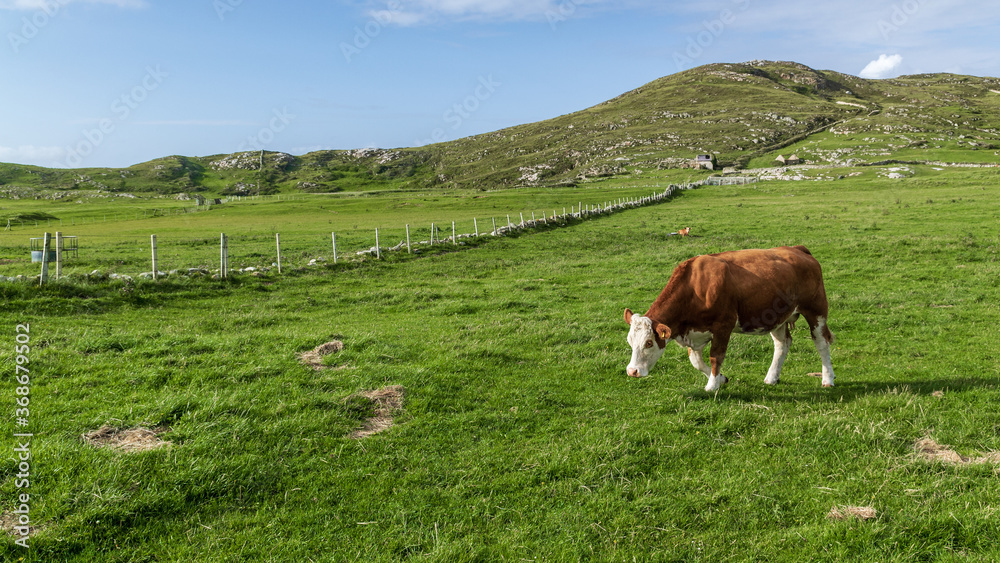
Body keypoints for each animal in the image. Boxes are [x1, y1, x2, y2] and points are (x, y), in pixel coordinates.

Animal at [624, 247, 836, 392]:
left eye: (649, 342)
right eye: (630, 342)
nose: (632, 371)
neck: (695, 288)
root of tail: (796, 249)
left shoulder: (723, 326)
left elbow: (715, 356)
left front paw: (712, 386)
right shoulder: (696, 332)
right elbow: (696, 361)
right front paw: (721, 379)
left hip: (816, 310)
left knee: (821, 342)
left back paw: (828, 379)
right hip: (779, 317)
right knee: (783, 344)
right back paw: (772, 377)